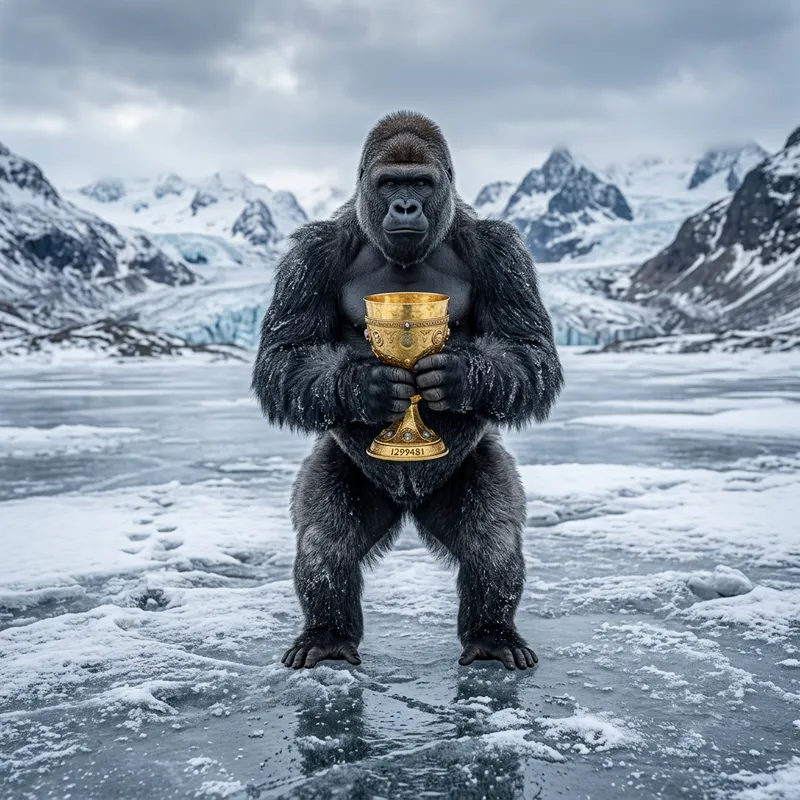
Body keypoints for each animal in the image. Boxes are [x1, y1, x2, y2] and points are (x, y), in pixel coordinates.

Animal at [252, 111, 563, 671]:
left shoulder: (500, 249)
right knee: (325, 543)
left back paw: (492, 633)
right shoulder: (310, 254)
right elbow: (284, 355)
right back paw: (328, 633)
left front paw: (462, 377)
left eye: (419, 183)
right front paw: (363, 386)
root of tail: (409, 503)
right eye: (389, 184)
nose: (404, 206)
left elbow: (529, 350)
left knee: (492, 541)